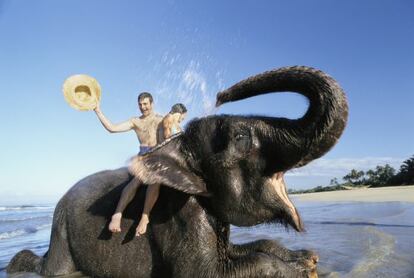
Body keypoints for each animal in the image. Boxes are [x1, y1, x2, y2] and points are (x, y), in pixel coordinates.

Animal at [8, 66, 348, 276]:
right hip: (61, 229)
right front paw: (303, 267)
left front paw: (307, 256)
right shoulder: (181, 215)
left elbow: (251, 248)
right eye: (240, 137)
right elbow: (207, 272)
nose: (220, 95)